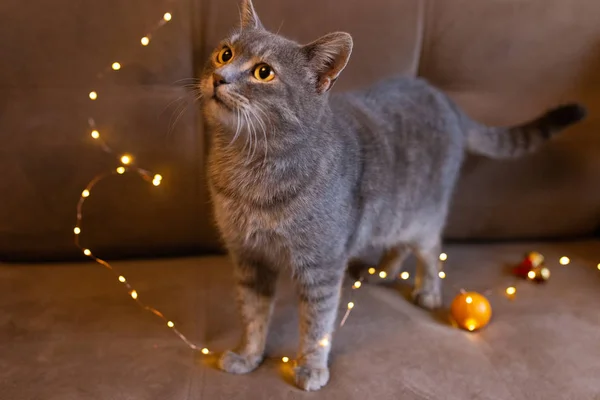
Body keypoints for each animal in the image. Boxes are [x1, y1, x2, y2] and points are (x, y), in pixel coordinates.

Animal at [200, 0, 584, 390]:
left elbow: (316, 325)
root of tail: (443, 98)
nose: (220, 77)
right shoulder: (248, 257)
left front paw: (310, 367)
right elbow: (252, 313)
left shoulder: (321, 265)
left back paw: (428, 291)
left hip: (424, 212)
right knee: (398, 245)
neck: (249, 169)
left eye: (263, 72)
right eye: (225, 53)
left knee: (429, 249)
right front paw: (248, 355)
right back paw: (380, 272)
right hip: (395, 216)